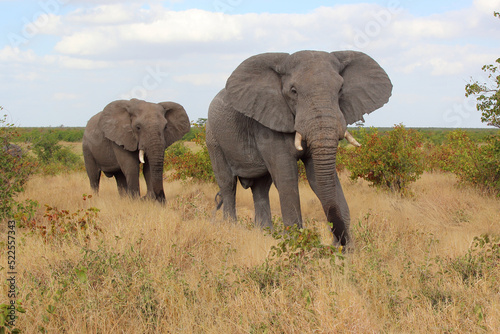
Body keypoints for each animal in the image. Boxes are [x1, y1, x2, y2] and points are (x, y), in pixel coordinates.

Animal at [205, 51, 392, 247]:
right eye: (293, 91)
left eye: (341, 89)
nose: (340, 243)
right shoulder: (268, 123)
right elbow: (287, 177)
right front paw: (295, 244)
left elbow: (317, 177)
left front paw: (346, 249)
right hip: (213, 138)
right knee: (228, 183)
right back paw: (231, 228)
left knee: (261, 187)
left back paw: (264, 233)